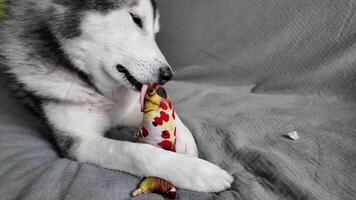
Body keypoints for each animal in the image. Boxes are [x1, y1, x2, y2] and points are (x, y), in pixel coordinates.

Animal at [0, 0, 234, 192]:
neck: (100, 90)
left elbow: (171, 114)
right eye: (136, 19)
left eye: (155, 30)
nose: (167, 75)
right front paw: (197, 171)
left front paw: (185, 141)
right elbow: (134, 152)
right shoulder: (79, 142)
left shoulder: (127, 108)